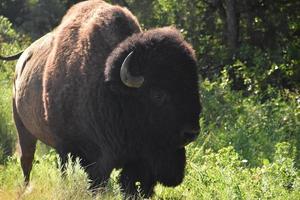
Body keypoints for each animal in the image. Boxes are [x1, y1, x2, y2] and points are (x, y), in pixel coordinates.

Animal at [2, 0, 202, 198]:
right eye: (158, 94)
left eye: (194, 88)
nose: (191, 132)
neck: (108, 89)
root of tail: (22, 58)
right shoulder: (70, 148)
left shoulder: (138, 159)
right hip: (22, 127)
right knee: (27, 159)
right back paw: (25, 189)